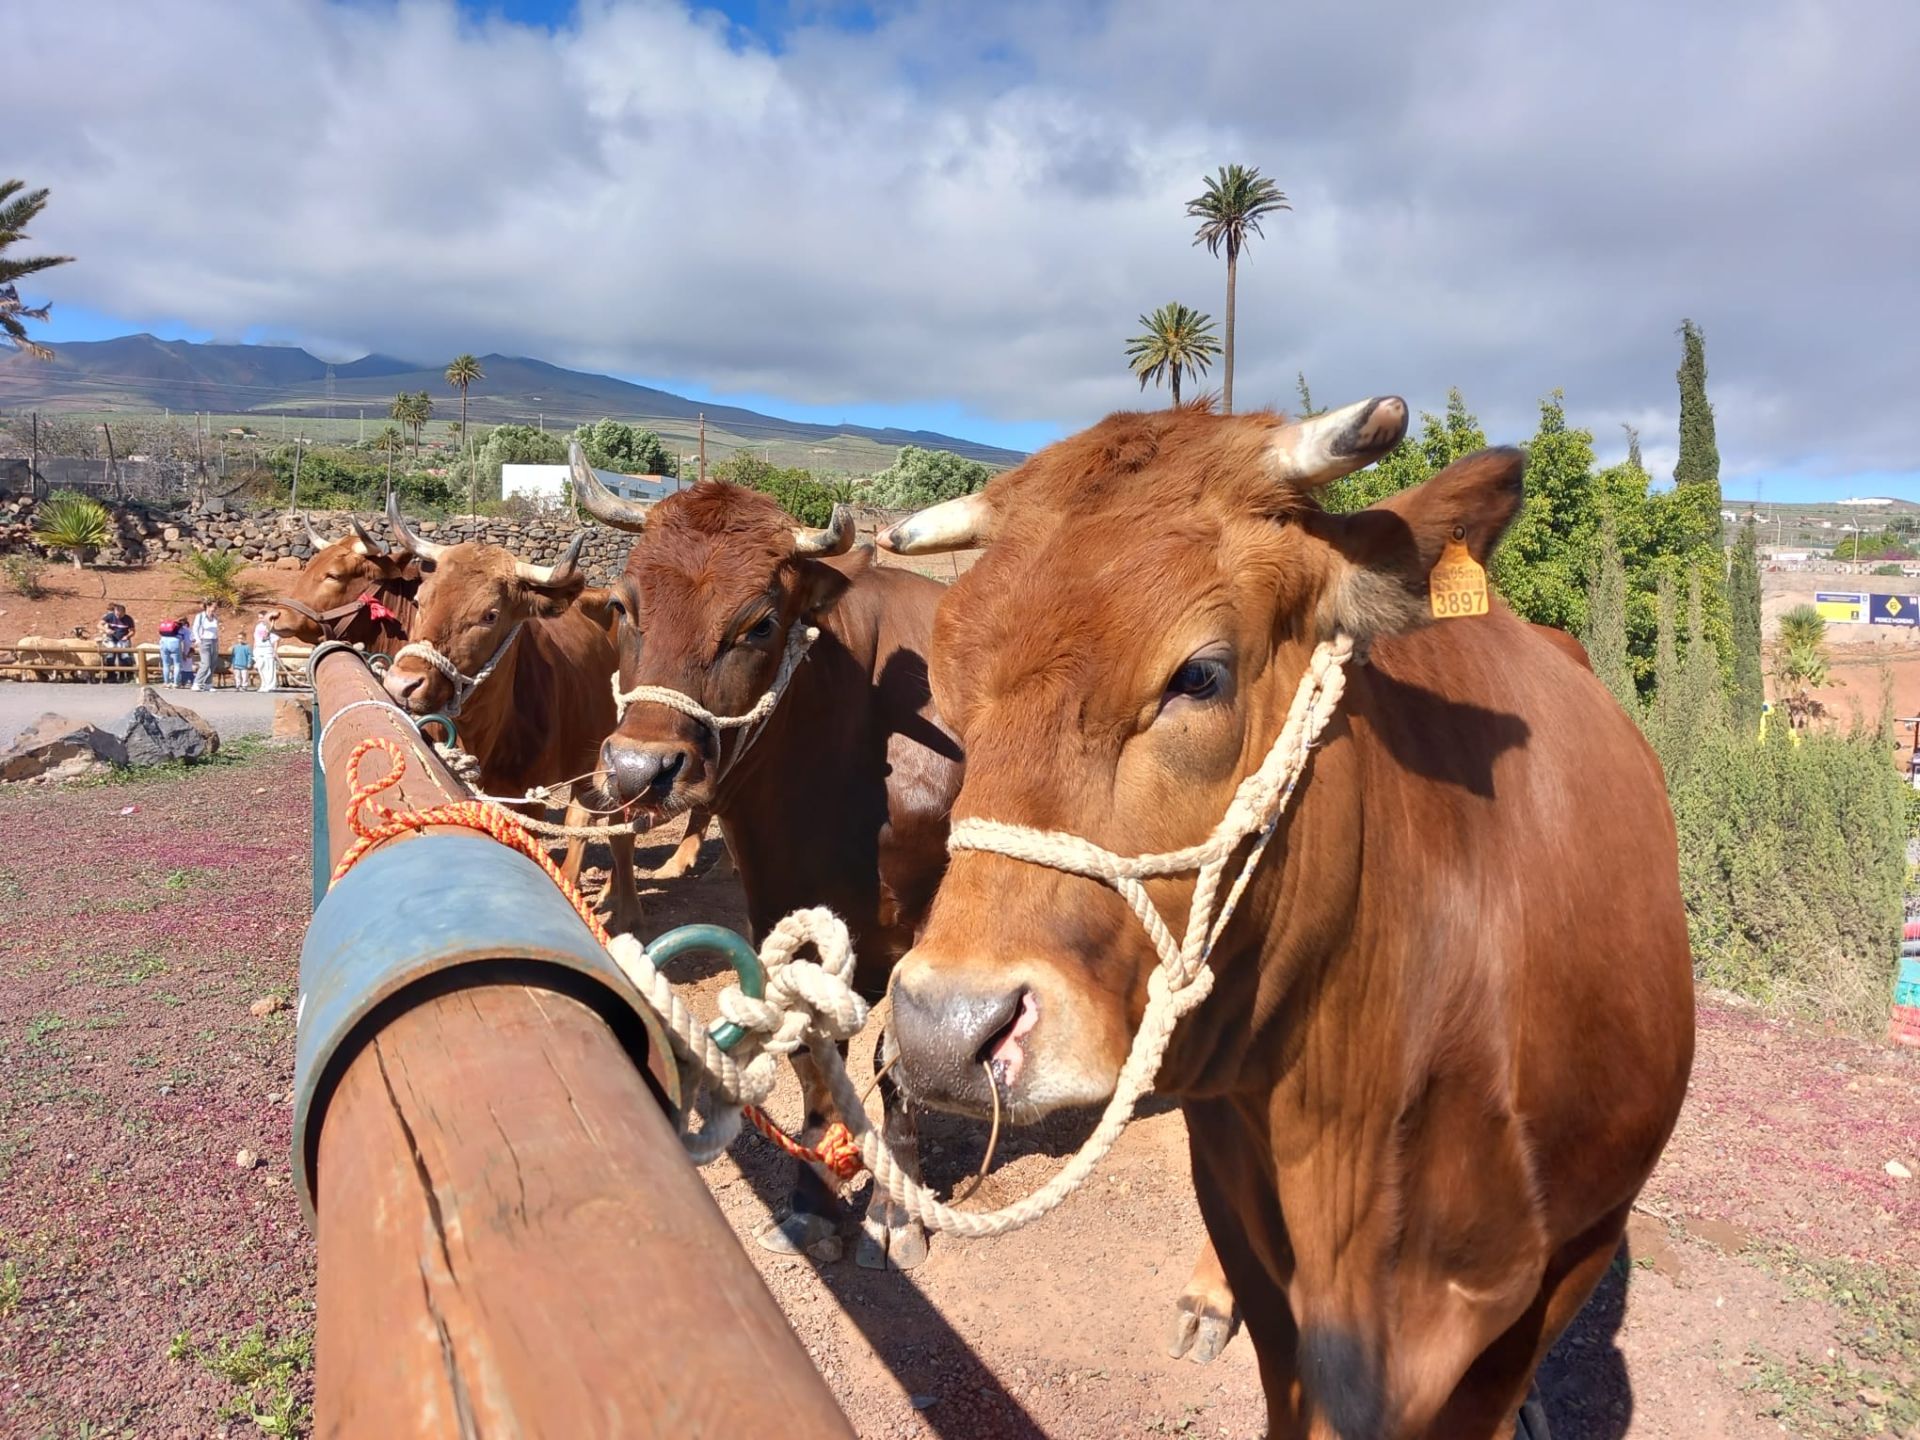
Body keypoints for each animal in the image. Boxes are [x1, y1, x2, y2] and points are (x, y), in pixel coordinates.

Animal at [380, 503, 645, 936]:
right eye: (419, 600)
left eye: (489, 615)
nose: (403, 683)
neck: (487, 735)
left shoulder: (530, 799)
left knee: (617, 829)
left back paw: (628, 911)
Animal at [564, 451, 960, 1274]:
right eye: (623, 606)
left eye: (760, 623)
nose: (640, 768)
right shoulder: (781, 902)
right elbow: (815, 1055)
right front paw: (813, 1203)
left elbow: (899, 1062)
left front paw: (897, 1211)